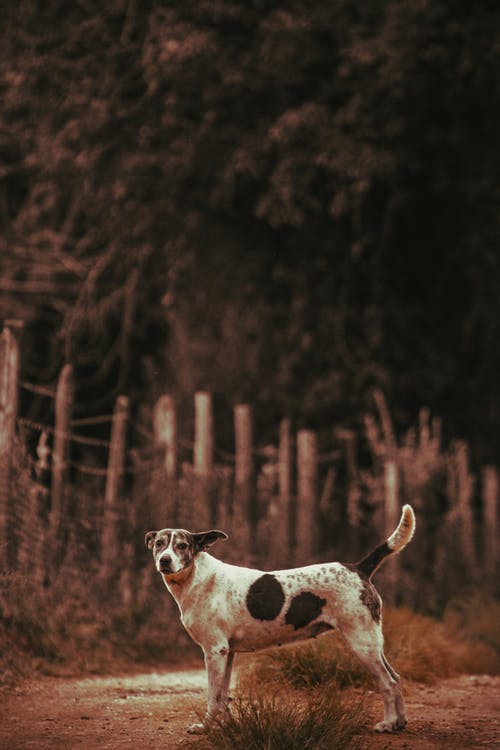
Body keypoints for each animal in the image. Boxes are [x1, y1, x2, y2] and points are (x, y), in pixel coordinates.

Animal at [146, 506, 416, 736]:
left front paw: (205, 728)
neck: (196, 577)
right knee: (396, 678)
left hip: (362, 643)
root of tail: (358, 568)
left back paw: (387, 724)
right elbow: (223, 696)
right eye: (159, 544)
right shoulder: (227, 653)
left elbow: (213, 697)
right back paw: (400, 722)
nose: (164, 560)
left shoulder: (214, 651)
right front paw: (229, 727)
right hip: (371, 643)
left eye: (182, 546)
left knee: (388, 682)